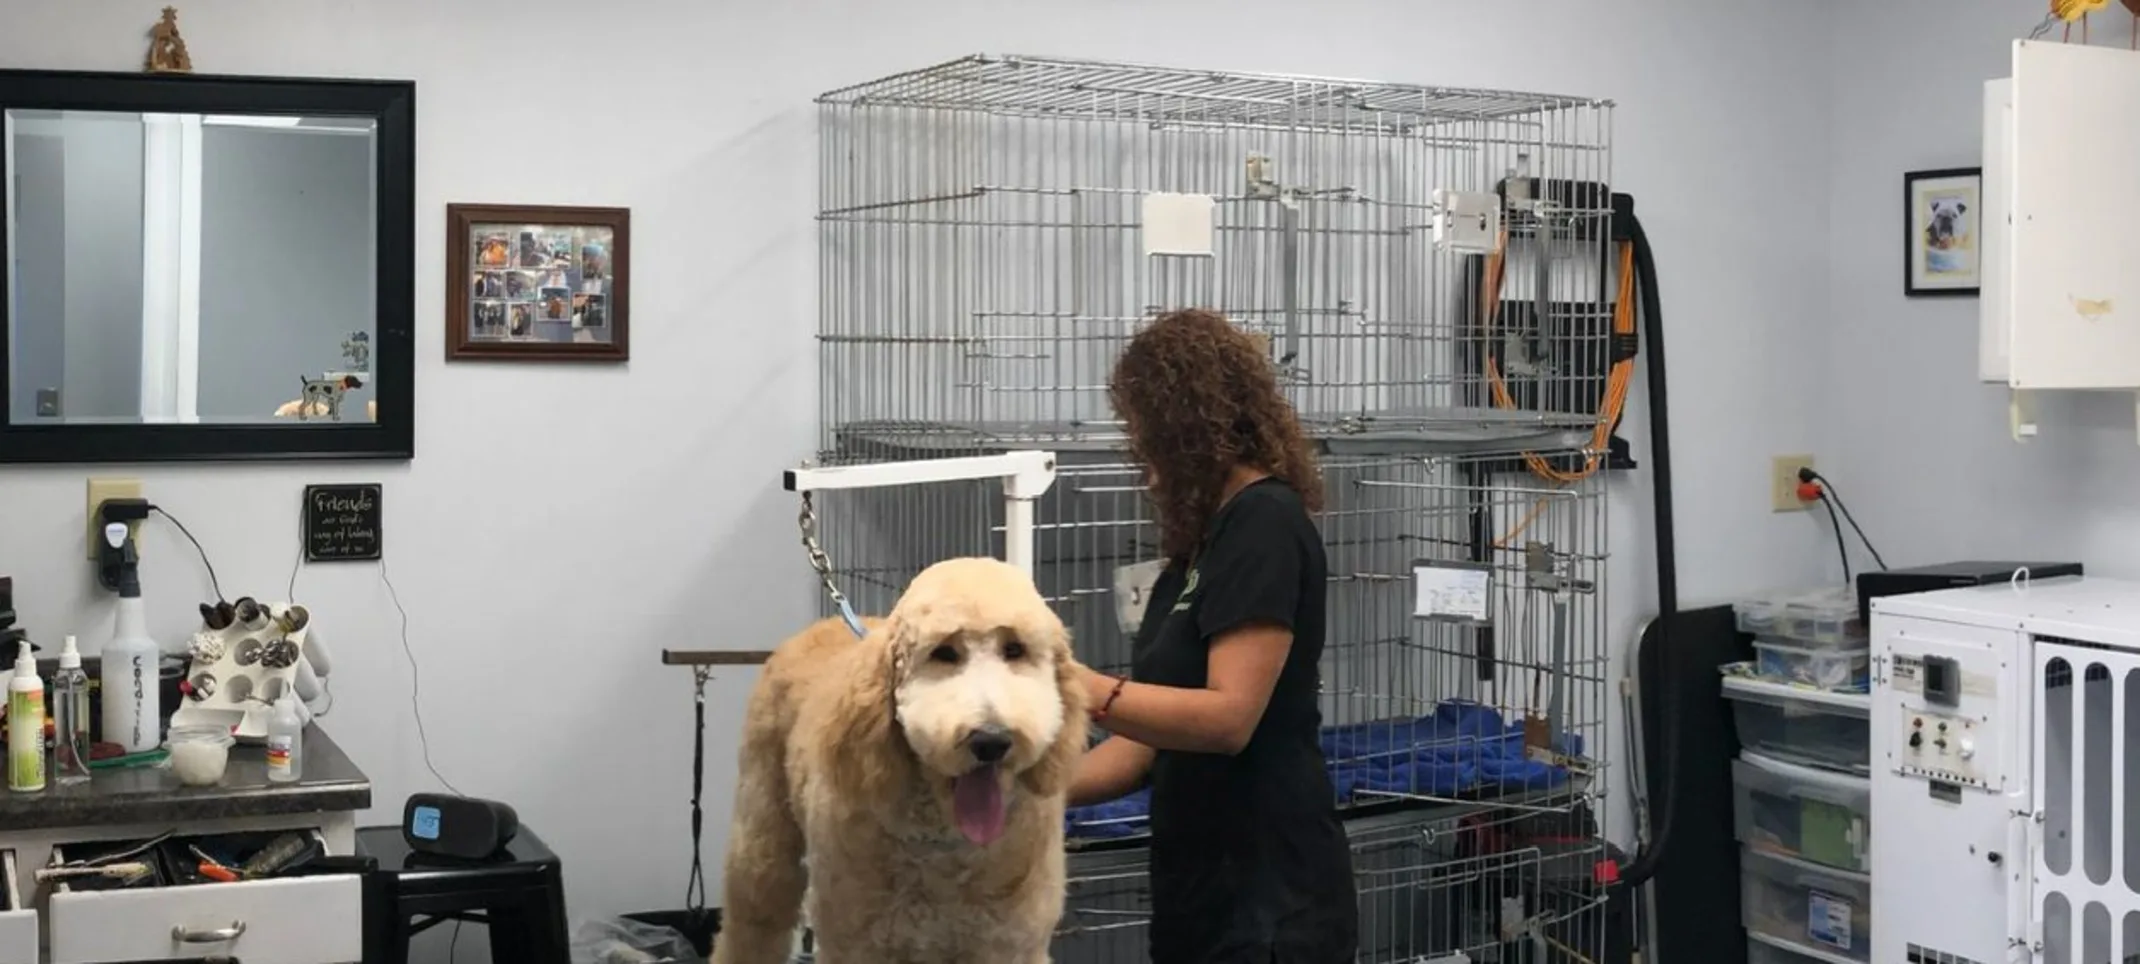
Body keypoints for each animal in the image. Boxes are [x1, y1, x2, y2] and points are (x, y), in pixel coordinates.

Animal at [714, 556, 1087, 964]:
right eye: (944, 653)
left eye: (1015, 649)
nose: (991, 740)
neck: (945, 846)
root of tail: (821, 625)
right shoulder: (856, 941)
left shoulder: (1010, 943)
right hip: (761, 841)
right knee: (754, 919)